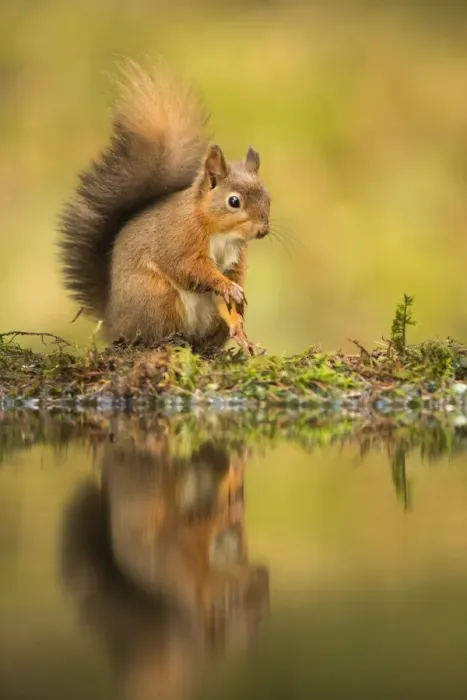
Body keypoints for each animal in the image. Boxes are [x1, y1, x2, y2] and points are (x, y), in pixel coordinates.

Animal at [58, 60, 270, 354]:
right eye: (234, 201)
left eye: (267, 196)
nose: (263, 230)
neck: (220, 232)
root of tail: (114, 324)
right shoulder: (179, 239)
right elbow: (190, 268)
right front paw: (227, 286)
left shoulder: (234, 260)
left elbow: (226, 299)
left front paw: (239, 324)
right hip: (157, 297)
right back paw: (169, 343)